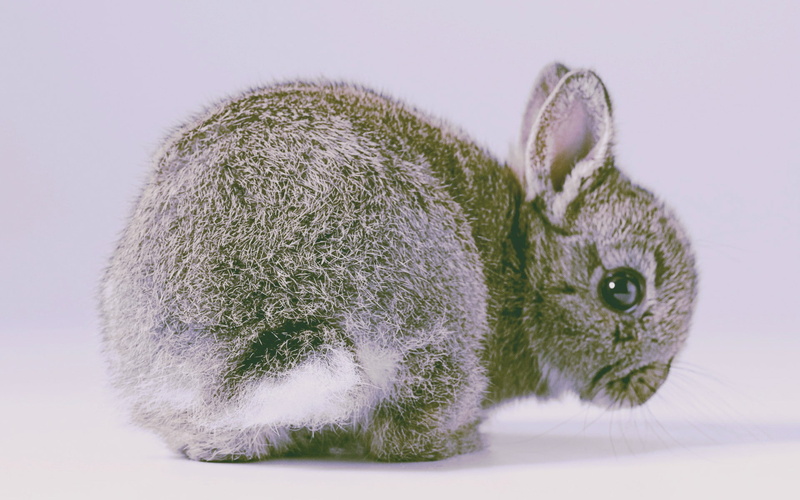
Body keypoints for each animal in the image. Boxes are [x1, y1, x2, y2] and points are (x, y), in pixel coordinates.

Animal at [99, 62, 698, 462]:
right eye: (623, 289)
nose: (650, 386)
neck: (525, 265)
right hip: (438, 321)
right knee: (403, 435)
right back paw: (462, 440)